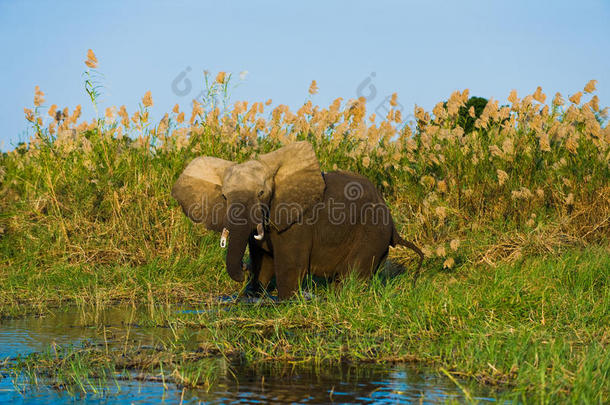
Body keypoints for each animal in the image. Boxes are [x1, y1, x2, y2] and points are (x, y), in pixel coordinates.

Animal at [169, 140, 420, 298]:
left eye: (261, 194)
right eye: (223, 196)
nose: (244, 266)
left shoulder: (298, 222)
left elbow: (290, 266)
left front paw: (285, 301)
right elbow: (263, 262)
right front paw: (252, 295)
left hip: (373, 233)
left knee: (353, 276)